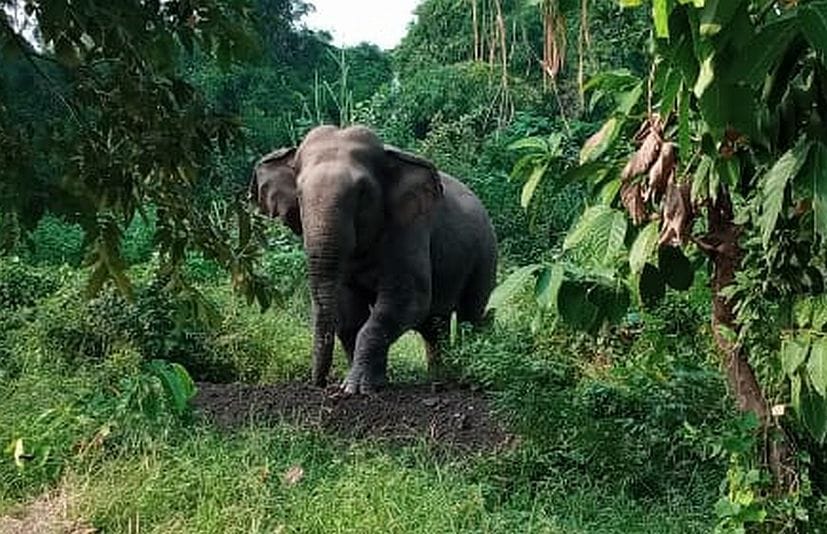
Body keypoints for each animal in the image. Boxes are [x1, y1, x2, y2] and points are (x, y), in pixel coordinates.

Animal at [249, 125, 497, 394]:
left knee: (470, 314)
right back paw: (438, 377)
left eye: (362, 193)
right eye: (300, 194)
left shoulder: (409, 228)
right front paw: (368, 383)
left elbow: (407, 300)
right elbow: (348, 313)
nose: (319, 384)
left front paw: (357, 388)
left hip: (485, 254)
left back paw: (463, 376)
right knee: (435, 325)